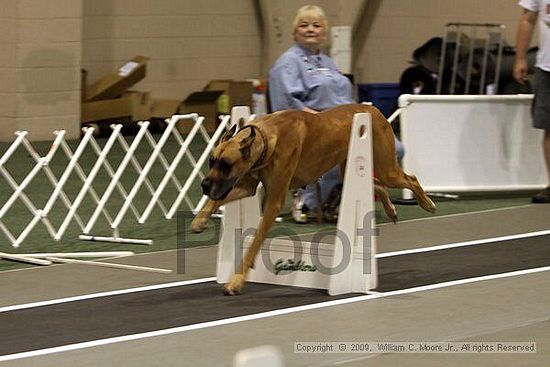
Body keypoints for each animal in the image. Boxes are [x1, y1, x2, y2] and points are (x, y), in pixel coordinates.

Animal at [192, 103, 438, 296]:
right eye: (211, 161)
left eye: (226, 165)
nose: (204, 185)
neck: (266, 138)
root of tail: (372, 109)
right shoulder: (245, 186)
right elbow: (216, 200)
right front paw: (199, 221)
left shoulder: (273, 202)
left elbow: (253, 243)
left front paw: (236, 280)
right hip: (349, 168)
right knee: (378, 185)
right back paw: (392, 209)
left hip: (386, 168)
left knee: (410, 179)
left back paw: (427, 203)